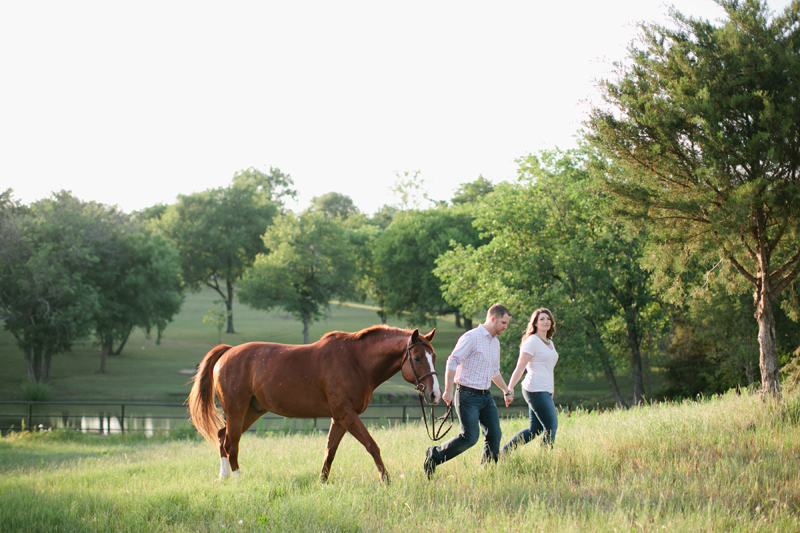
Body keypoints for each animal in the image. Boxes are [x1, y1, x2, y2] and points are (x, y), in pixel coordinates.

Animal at [188, 324, 440, 482]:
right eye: (417, 357)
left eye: (434, 356)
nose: (435, 394)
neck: (356, 360)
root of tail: (227, 353)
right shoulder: (347, 414)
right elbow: (372, 445)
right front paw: (385, 480)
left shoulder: (339, 418)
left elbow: (330, 450)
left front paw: (322, 481)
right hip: (237, 411)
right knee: (232, 444)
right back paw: (237, 478)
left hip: (251, 411)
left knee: (222, 437)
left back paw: (224, 476)